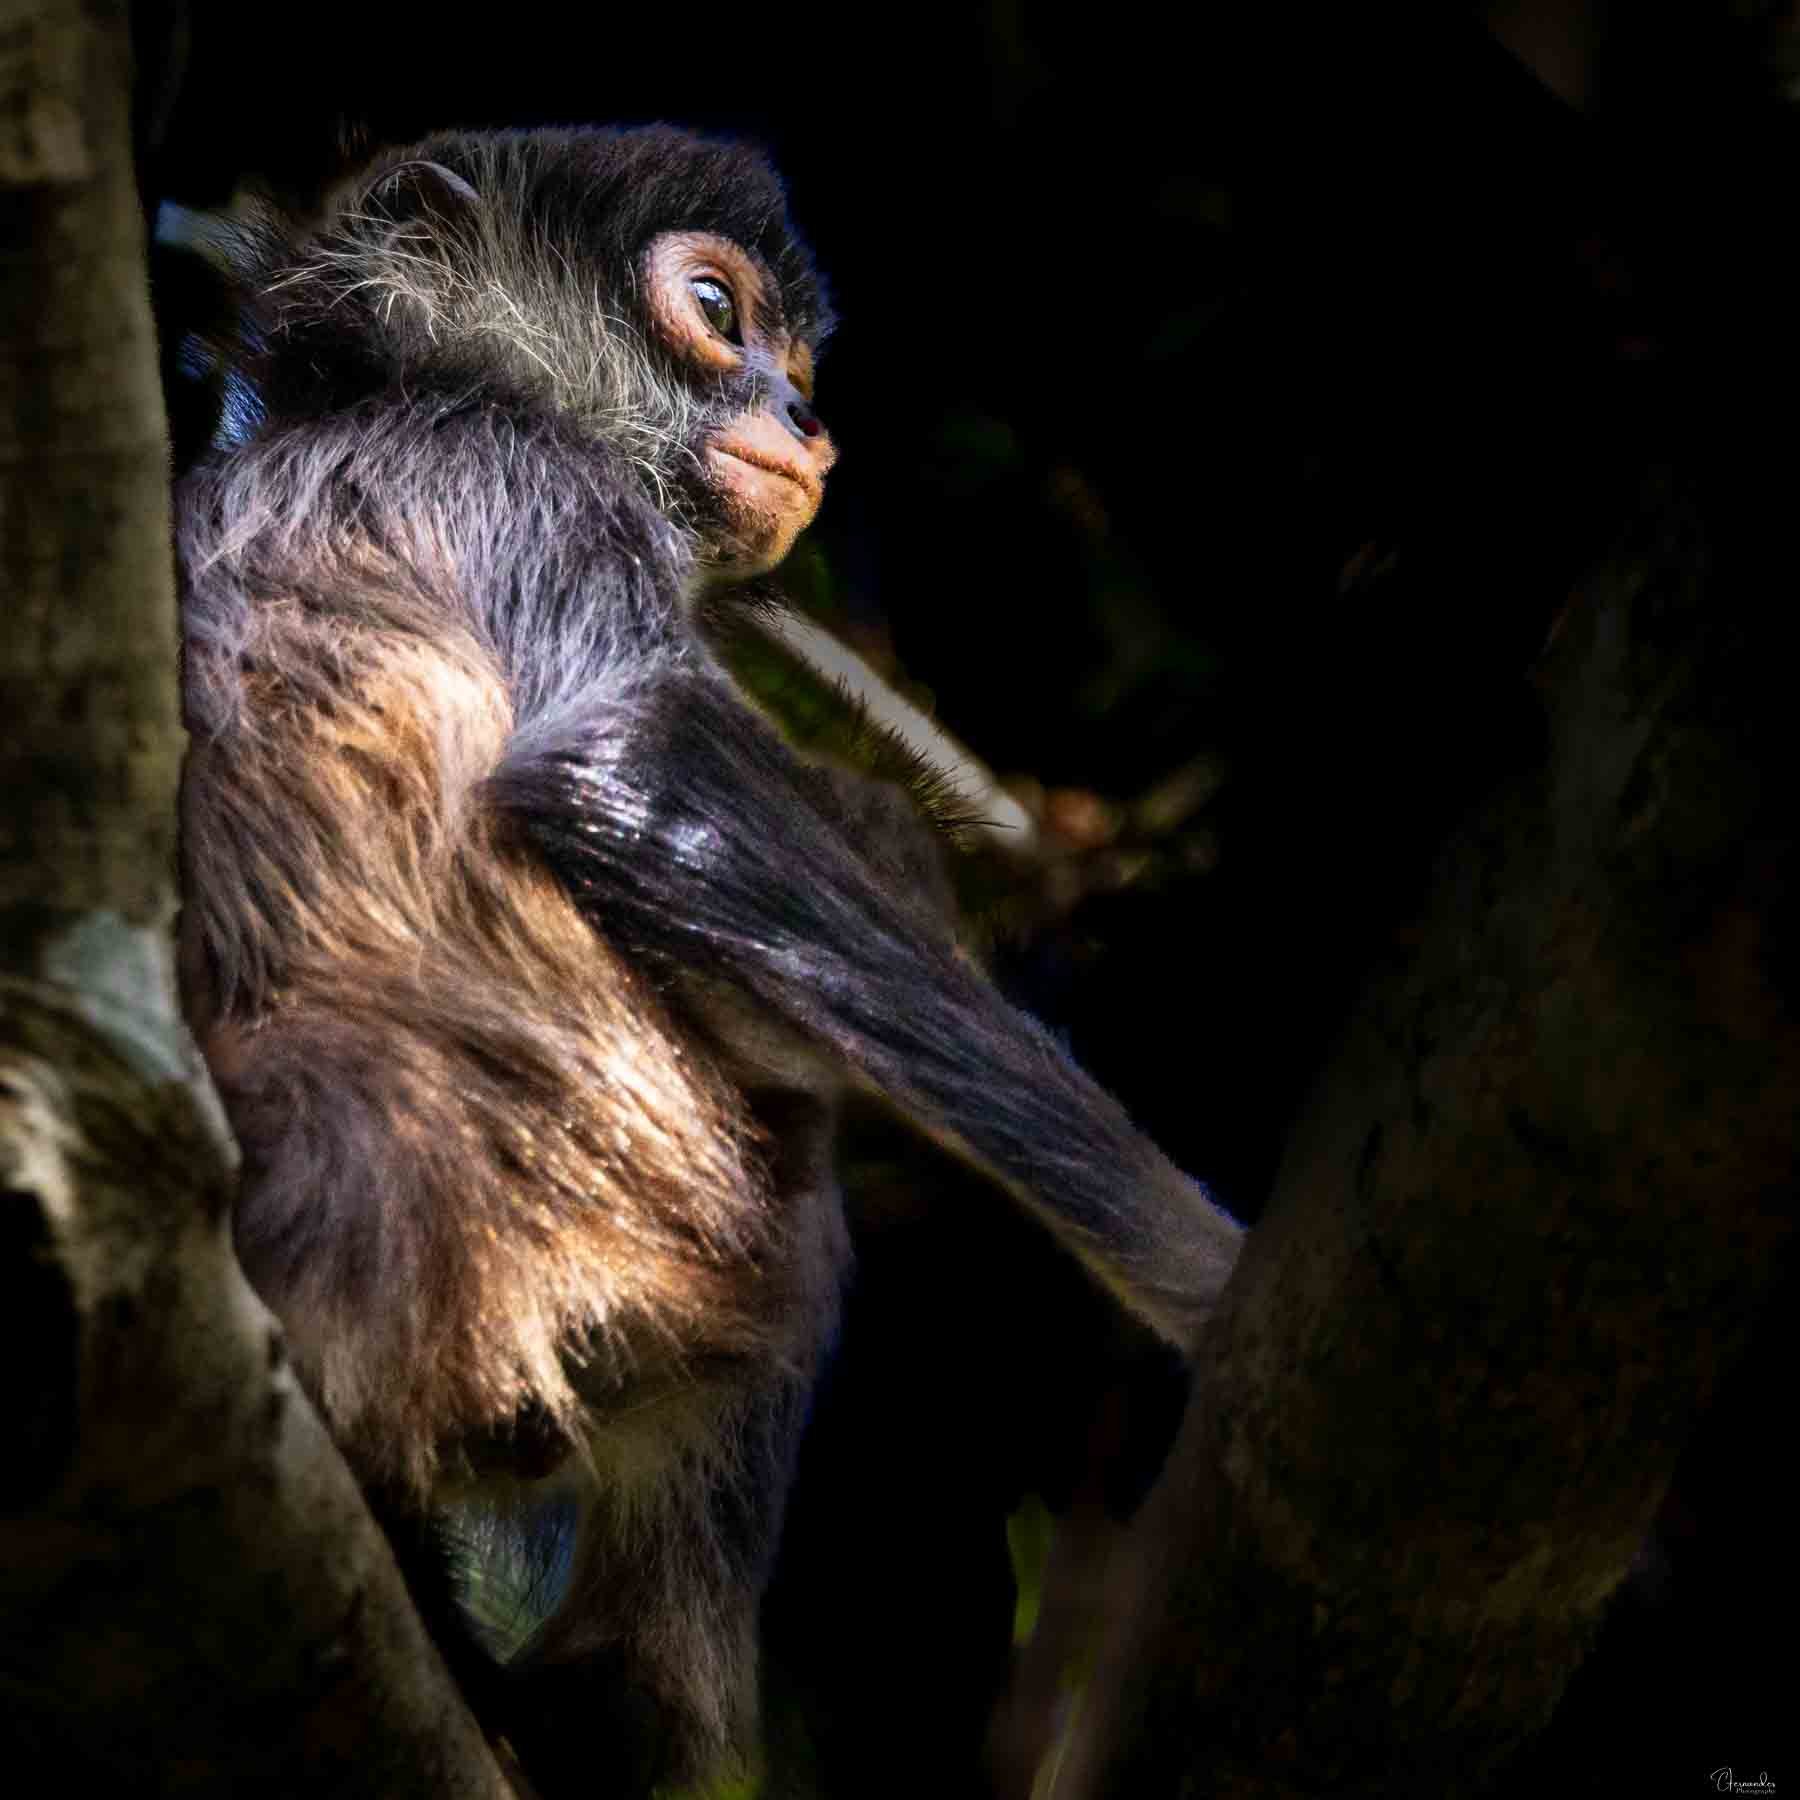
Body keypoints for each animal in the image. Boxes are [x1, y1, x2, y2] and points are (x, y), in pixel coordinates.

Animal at [173, 125, 1242, 1794]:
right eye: (717, 313)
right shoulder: (518, 475)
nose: (805, 417)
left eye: (798, 362)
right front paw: (1214, 1282)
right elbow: (629, 753)